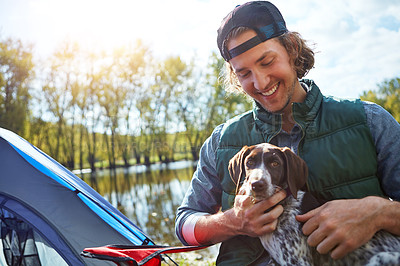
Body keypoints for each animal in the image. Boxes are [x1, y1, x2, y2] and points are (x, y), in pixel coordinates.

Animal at [228, 144, 400, 264]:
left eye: (275, 163)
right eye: (250, 162)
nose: (257, 185)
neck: (284, 205)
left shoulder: (297, 260)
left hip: (380, 257)